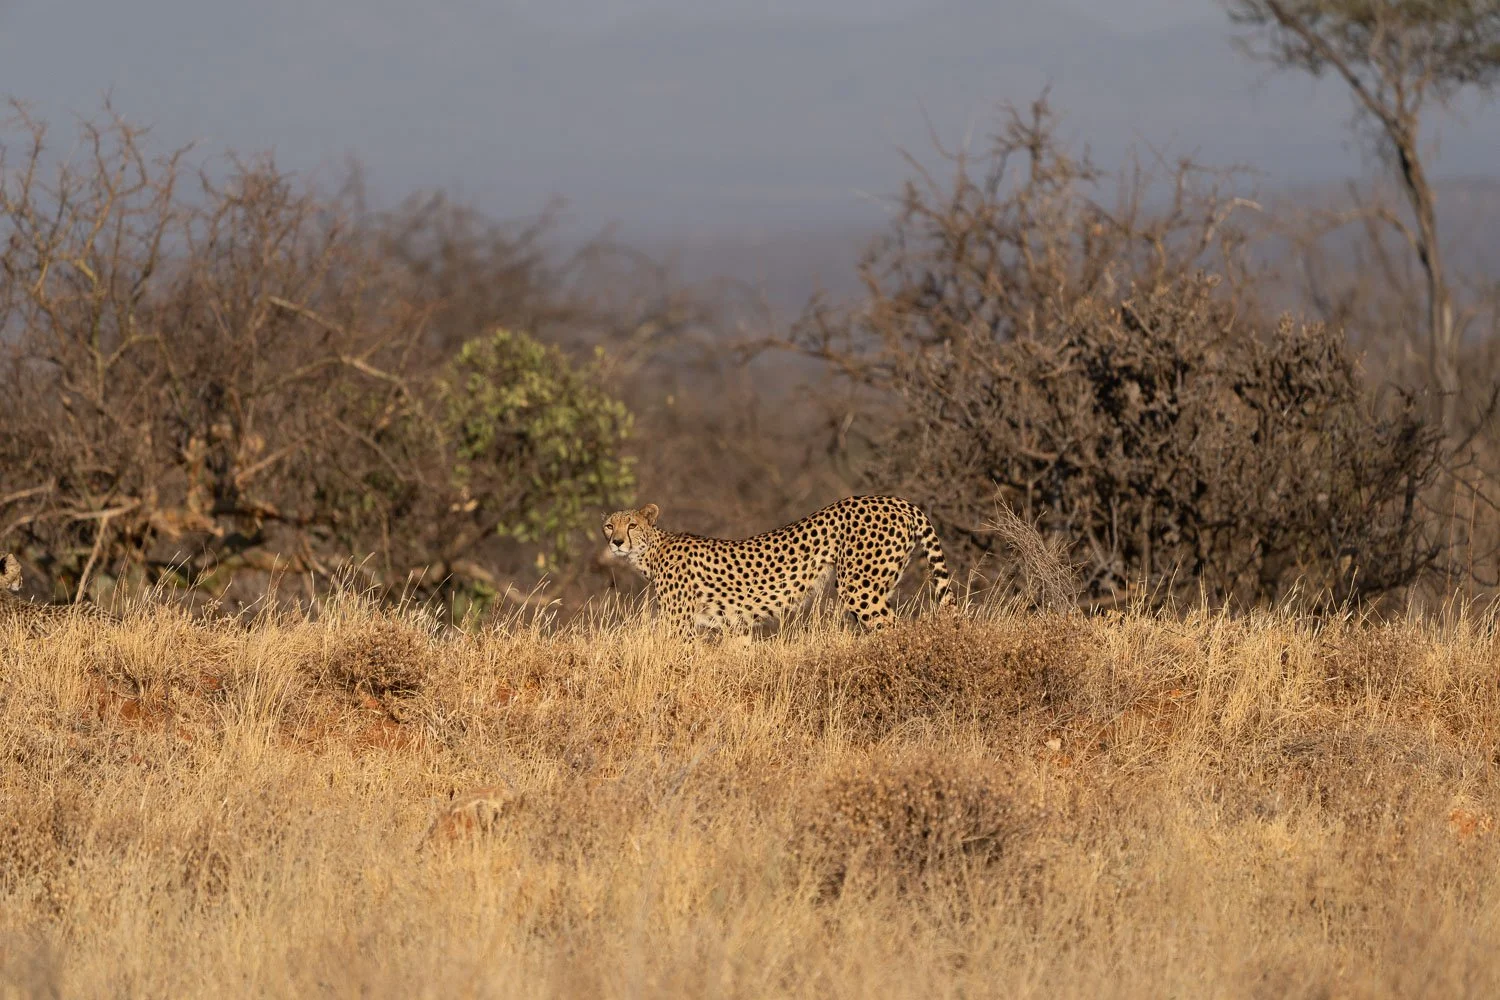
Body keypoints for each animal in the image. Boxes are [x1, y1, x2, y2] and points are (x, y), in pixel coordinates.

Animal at [602, 495, 955, 635]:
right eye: (609, 526)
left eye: (631, 525)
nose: (616, 542)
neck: (652, 551)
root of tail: (899, 501)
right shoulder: (737, 627)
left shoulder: (679, 625)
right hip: (880, 585)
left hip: (859, 588)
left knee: (895, 630)